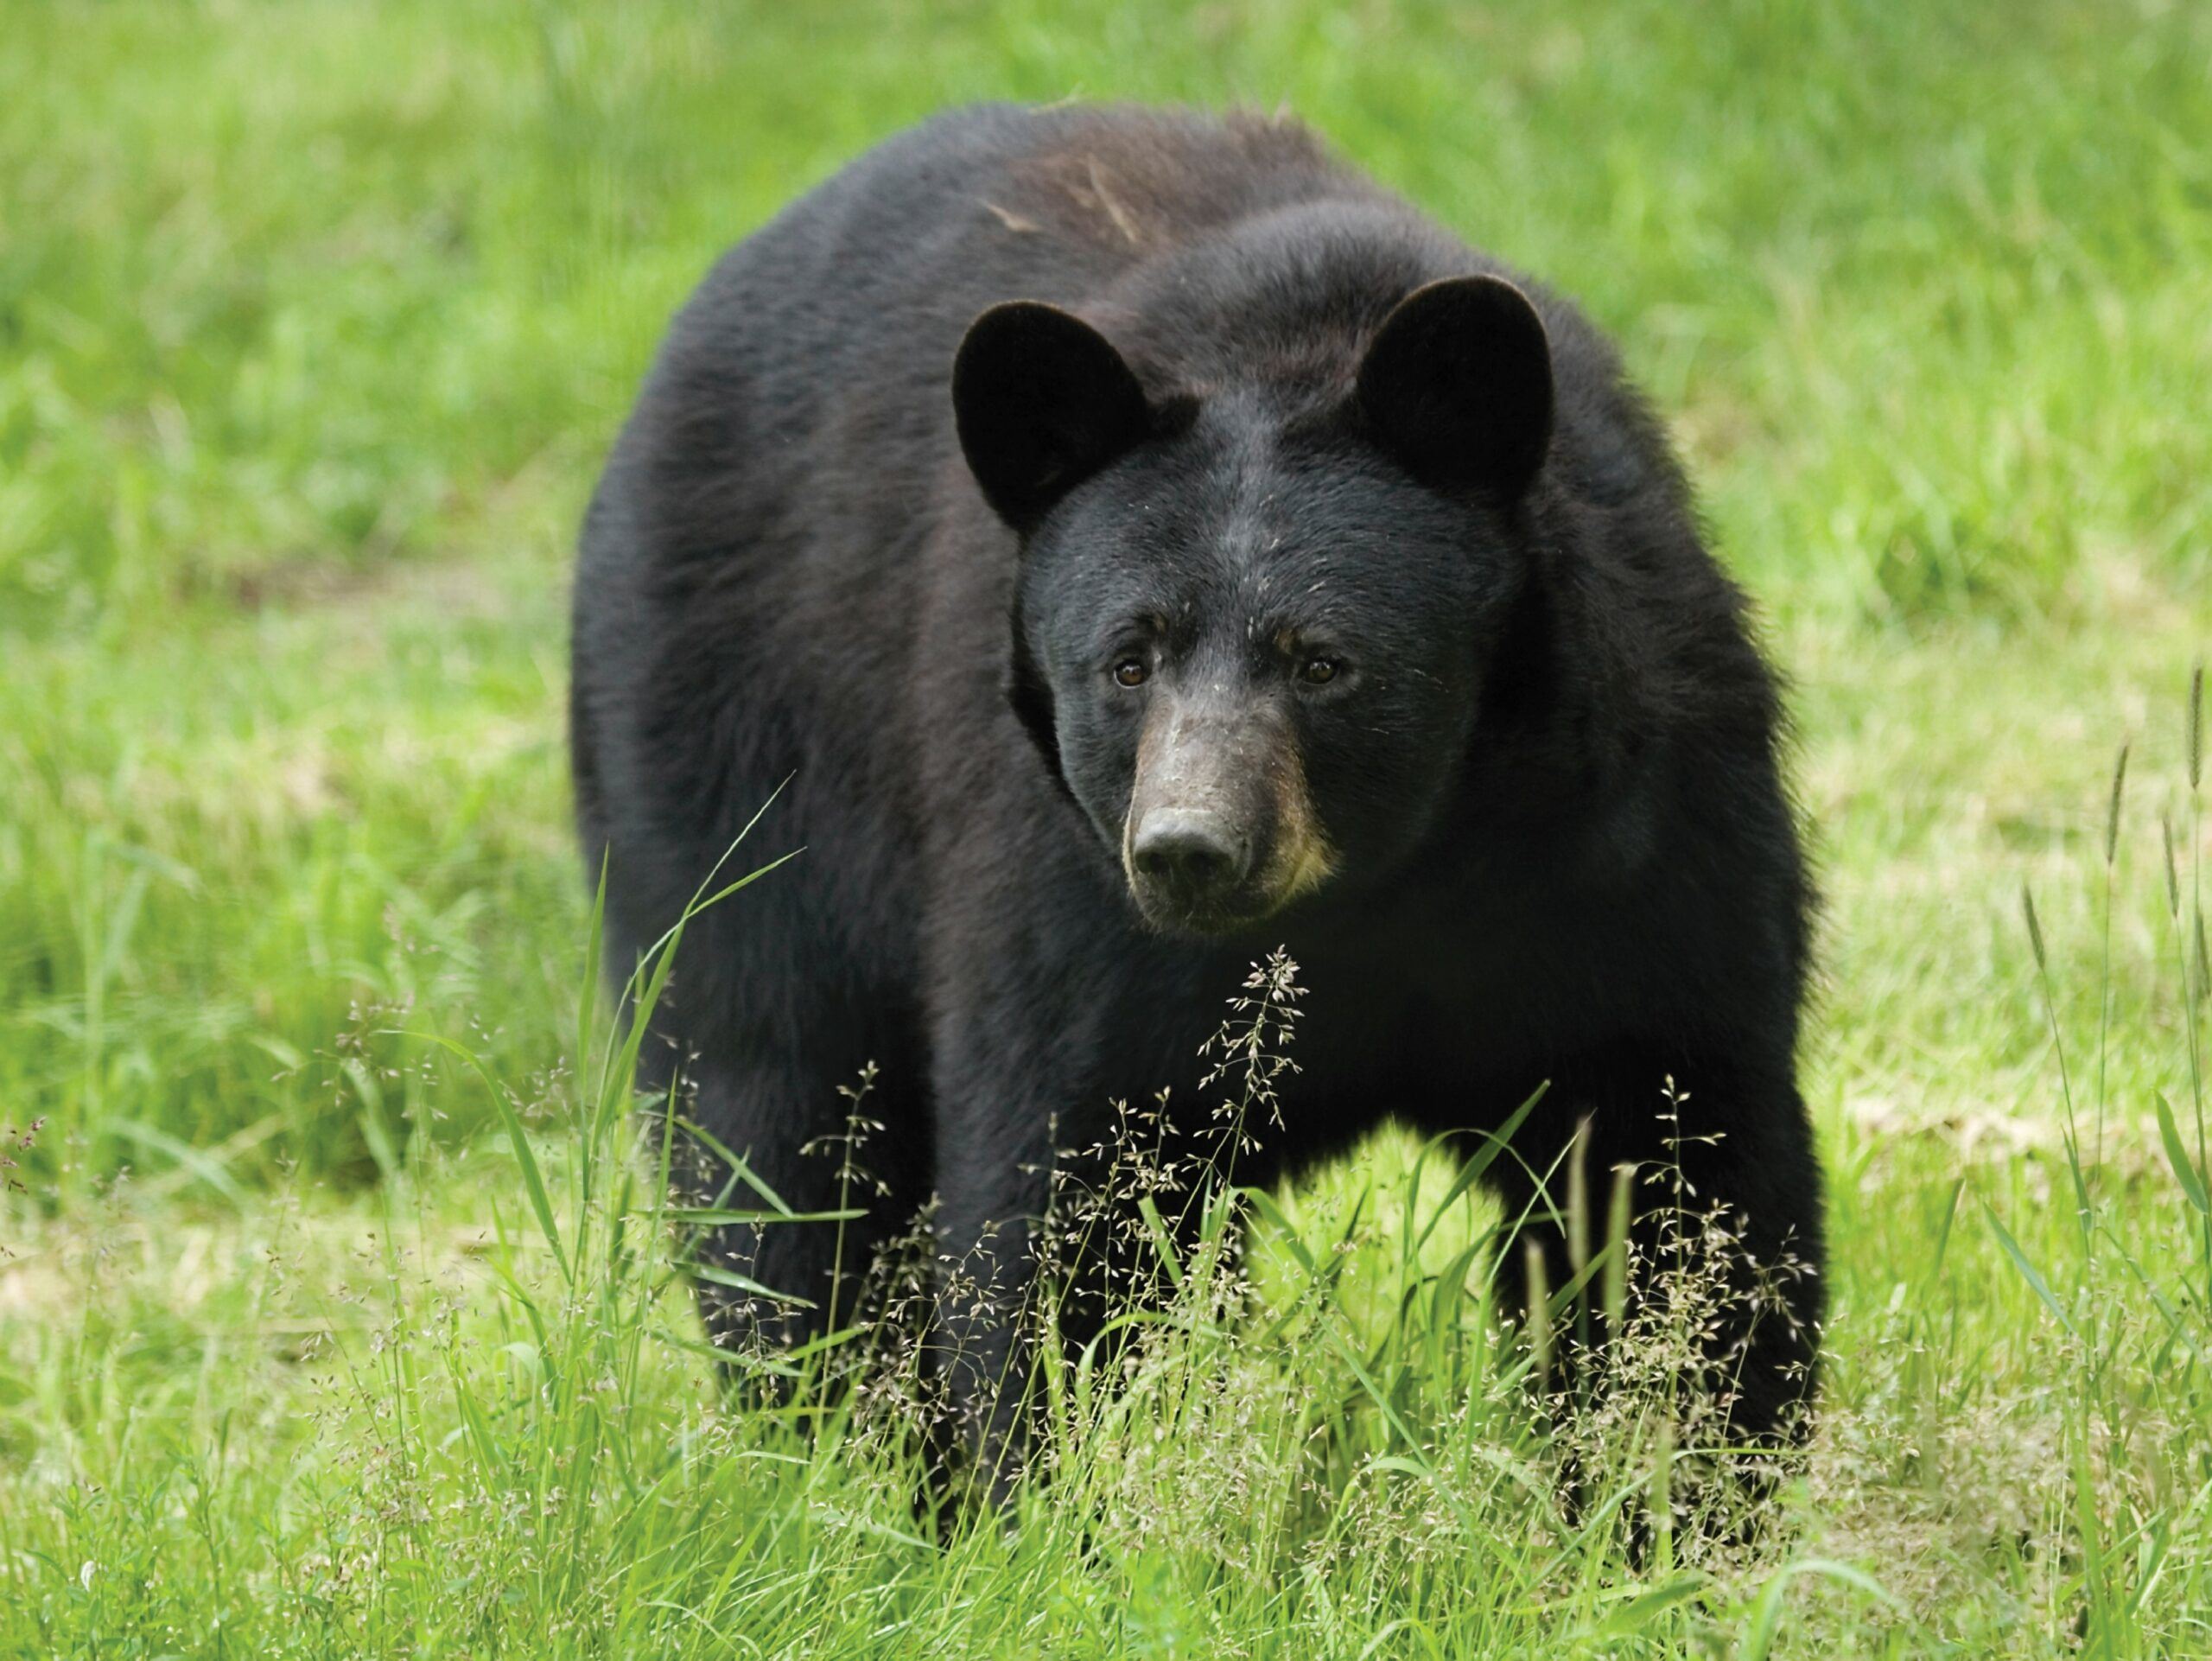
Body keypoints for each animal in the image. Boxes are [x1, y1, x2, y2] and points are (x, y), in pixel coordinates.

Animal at [570, 102, 1824, 1500]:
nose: (1190, 850)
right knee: (774, 1135)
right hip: (731, 763)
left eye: (1323, 660)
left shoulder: (1637, 847)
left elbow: (1674, 1173)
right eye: (1129, 658)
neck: (1394, 881)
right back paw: (844, 1460)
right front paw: (1046, 1503)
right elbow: (1064, 1209)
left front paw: (1671, 1496)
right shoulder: (1068, 902)